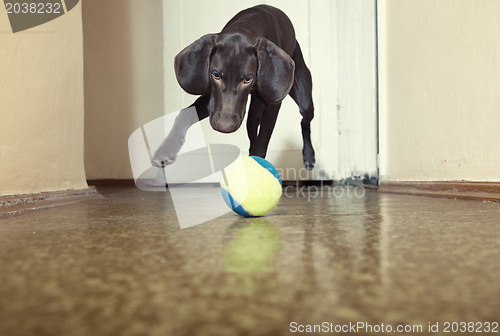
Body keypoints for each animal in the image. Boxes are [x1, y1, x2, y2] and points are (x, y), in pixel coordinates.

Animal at [152, 6, 316, 171]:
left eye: (247, 79)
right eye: (216, 75)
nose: (224, 127)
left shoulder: (273, 105)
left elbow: (263, 142)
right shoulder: (212, 101)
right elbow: (184, 114)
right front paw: (166, 149)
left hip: (304, 101)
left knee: (304, 121)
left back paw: (308, 156)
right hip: (253, 116)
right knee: (253, 134)